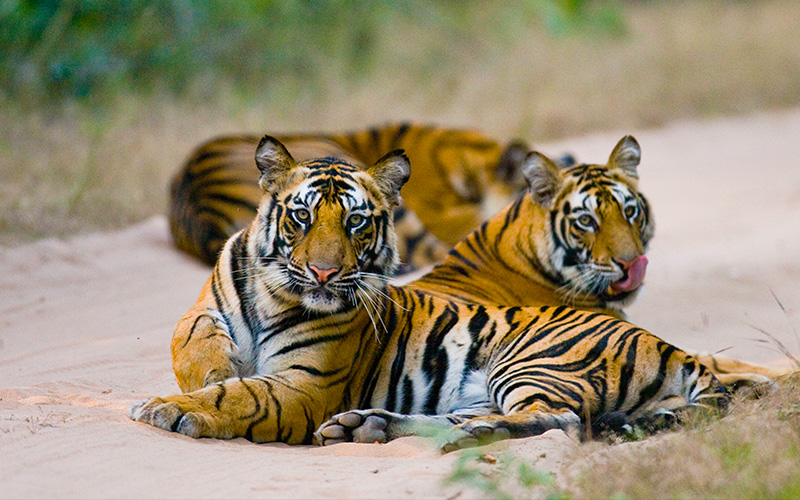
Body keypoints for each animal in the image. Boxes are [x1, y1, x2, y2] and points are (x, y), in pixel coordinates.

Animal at [126, 136, 732, 450]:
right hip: (486, 385)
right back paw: (369, 425)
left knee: (558, 421)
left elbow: (240, 396)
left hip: (534, 362)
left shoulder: (304, 387)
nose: (322, 274)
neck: (275, 295)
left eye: (356, 223)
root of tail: (665, 344)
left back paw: (468, 430)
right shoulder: (206, 308)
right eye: (301, 217)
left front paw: (171, 406)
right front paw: (210, 371)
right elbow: (191, 338)